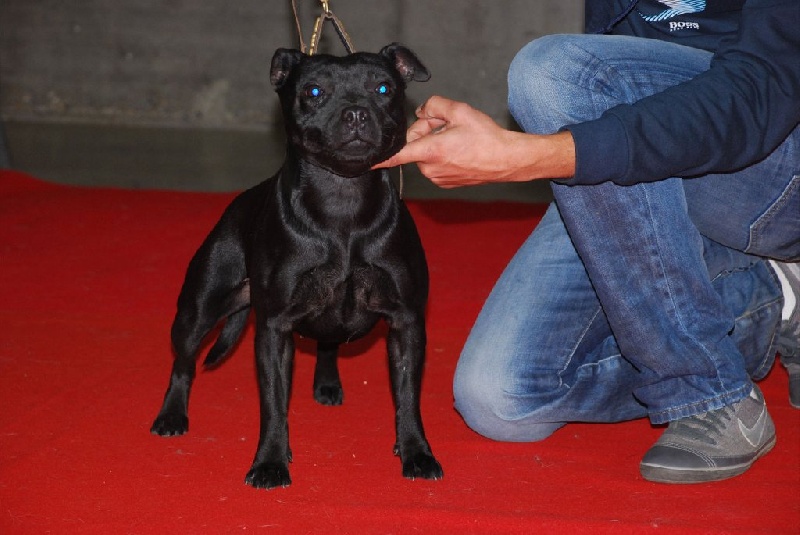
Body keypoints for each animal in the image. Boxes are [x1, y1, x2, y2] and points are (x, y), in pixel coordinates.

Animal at [151, 43, 442, 490]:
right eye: (314, 91)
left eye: (383, 87)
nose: (356, 113)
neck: (343, 199)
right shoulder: (274, 330)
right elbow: (274, 404)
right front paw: (270, 462)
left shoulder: (406, 323)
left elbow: (408, 398)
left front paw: (416, 452)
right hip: (198, 308)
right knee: (183, 362)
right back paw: (172, 415)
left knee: (328, 343)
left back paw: (327, 383)